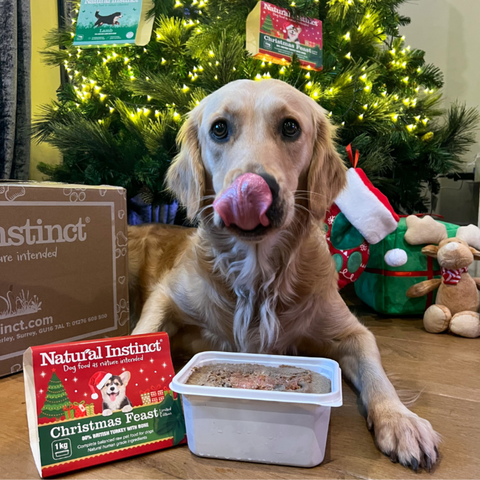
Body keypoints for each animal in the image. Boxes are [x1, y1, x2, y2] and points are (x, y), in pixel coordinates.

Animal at [129, 79, 440, 468]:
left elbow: (376, 374)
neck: (258, 276)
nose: (249, 187)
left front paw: (400, 420)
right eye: (219, 129)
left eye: (290, 127)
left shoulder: (352, 331)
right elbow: (143, 333)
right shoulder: (166, 296)